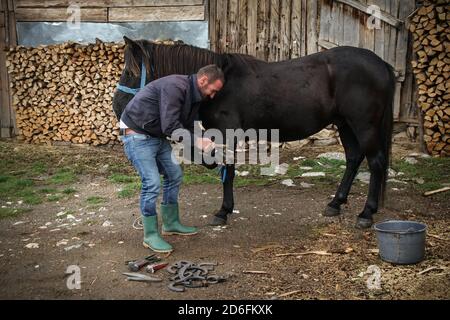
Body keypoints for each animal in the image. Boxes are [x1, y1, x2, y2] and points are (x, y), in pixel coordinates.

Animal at [112, 37, 394, 228]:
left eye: (130, 72)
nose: (117, 106)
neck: (223, 84)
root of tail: (382, 64)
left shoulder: (227, 134)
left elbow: (228, 172)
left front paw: (223, 212)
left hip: (363, 124)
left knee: (376, 162)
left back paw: (366, 214)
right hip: (345, 124)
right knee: (354, 159)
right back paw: (335, 203)